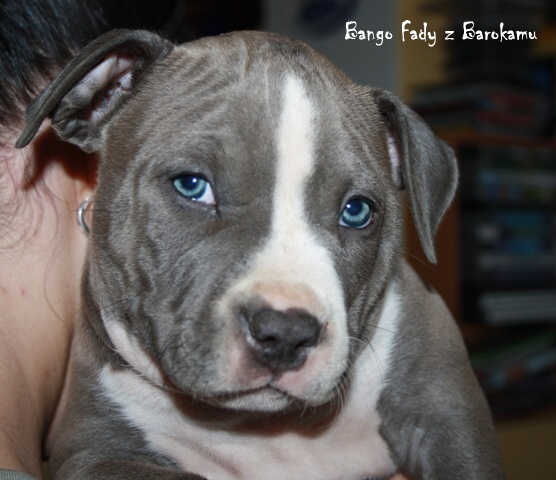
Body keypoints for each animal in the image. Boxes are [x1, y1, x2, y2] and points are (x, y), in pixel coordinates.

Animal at [17, 29, 504, 480]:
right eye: (192, 185)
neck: (262, 426)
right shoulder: (97, 450)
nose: (285, 333)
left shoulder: (445, 415)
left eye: (357, 210)